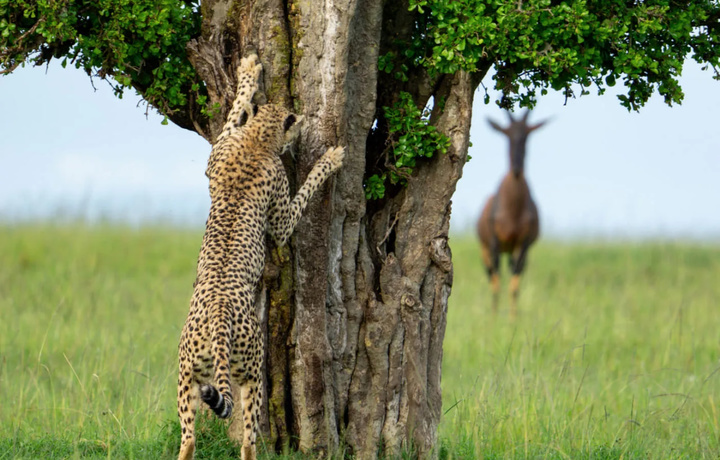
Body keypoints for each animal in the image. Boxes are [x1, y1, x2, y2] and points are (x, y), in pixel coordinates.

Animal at [174, 54, 344, 460]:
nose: (302, 129)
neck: (257, 139)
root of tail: (219, 319)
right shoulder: (279, 218)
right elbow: (302, 196)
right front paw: (329, 160)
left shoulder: (215, 156)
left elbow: (233, 111)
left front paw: (248, 74)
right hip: (251, 373)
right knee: (249, 441)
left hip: (187, 377)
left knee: (188, 439)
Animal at [478, 111, 544, 318]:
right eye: (506, 133)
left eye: (528, 134)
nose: (516, 169)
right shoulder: (494, 243)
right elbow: (496, 283)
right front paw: (493, 319)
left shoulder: (522, 244)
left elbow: (515, 285)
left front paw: (512, 320)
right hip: (486, 250)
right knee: (491, 275)